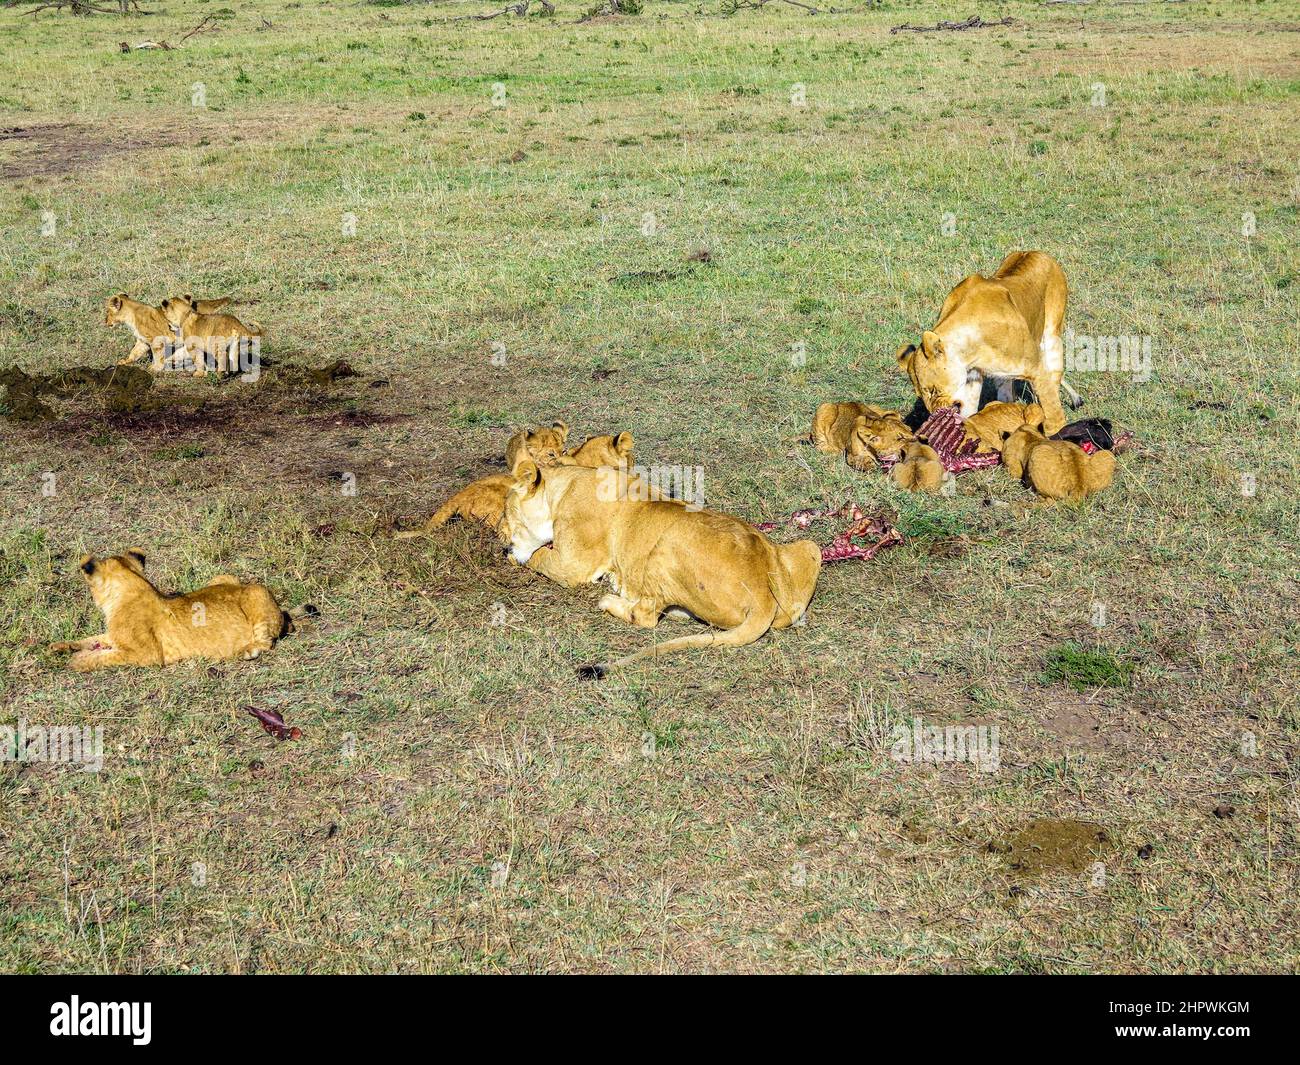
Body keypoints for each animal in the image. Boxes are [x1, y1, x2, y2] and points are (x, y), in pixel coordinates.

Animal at [48, 550, 313, 671]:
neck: (133, 587)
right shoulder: (113, 637)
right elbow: (92, 639)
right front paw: (60, 646)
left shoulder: (147, 654)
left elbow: (104, 657)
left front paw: (77, 660)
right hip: (225, 577)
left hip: (257, 592)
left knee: (266, 639)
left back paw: (249, 651)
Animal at [500, 463, 821, 677]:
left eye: (506, 513)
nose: (502, 544)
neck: (563, 485)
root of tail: (762, 595)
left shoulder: (572, 564)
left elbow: (538, 557)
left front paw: (514, 555)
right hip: (811, 548)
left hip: (665, 547)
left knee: (646, 616)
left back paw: (611, 599)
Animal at [896, 250, 1075, 434]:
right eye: (920, 394)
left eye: (933, 390)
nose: (935, 414)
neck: (969, 353)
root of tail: (1036, 252)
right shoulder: (972, 379)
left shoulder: (1036, 368)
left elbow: (1052, 409)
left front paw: (1057, 432)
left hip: (1052, 337)